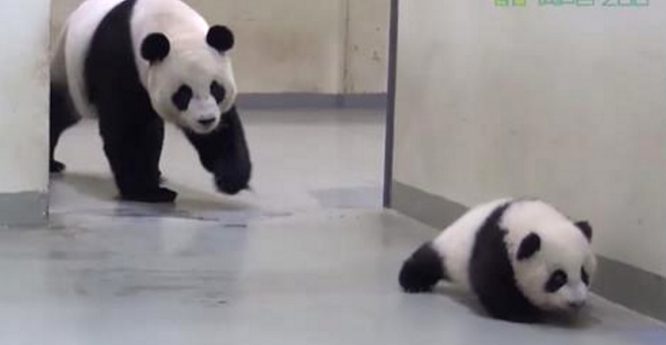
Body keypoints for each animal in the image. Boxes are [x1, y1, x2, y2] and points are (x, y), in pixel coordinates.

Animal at [50, 0, 250, 203]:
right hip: (65, 72)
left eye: (216, 89)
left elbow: (222, 130)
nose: (206, 120)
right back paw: (52, 164)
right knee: (59, 113)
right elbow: (128, 128)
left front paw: (231, 178)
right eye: (183, 94)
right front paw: (147, 191)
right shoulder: (121, 59)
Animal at [396, 198, 592, 322]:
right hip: (451, 250)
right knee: (429, 259)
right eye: (558, 278)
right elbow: (493, 284)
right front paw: (524, 312)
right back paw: (412, 282)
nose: (577, 303)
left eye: (584, 274)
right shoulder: (496, 249)